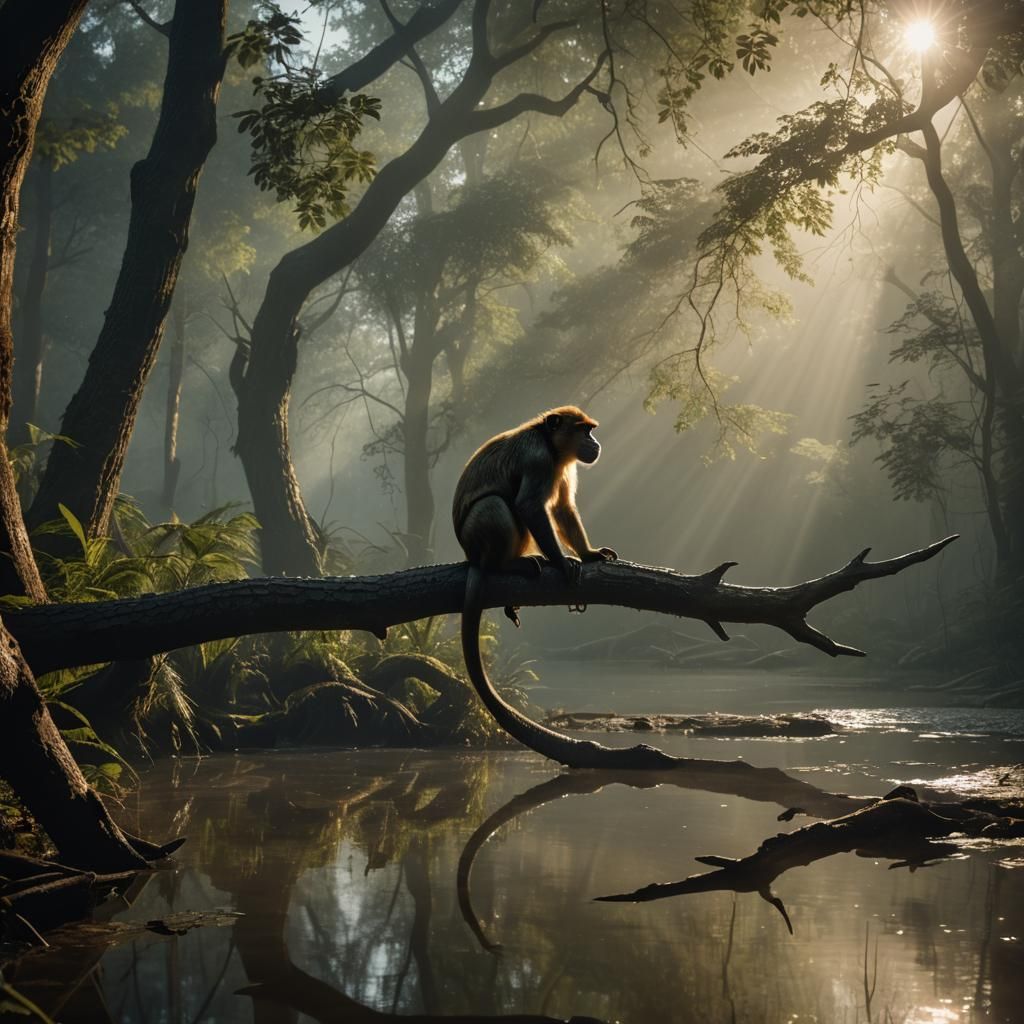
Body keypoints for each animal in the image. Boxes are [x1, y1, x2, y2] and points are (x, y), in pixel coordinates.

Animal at [453, 406, 617, 721]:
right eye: (585, 431)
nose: (595, 443)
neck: (550, 444)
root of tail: (470, 555)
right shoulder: (538, 459)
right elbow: (529, 505)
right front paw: (562, 563)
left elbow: (562, 508)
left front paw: (588, 554)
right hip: (477, 537)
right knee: (496, 504)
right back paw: (504, 565)